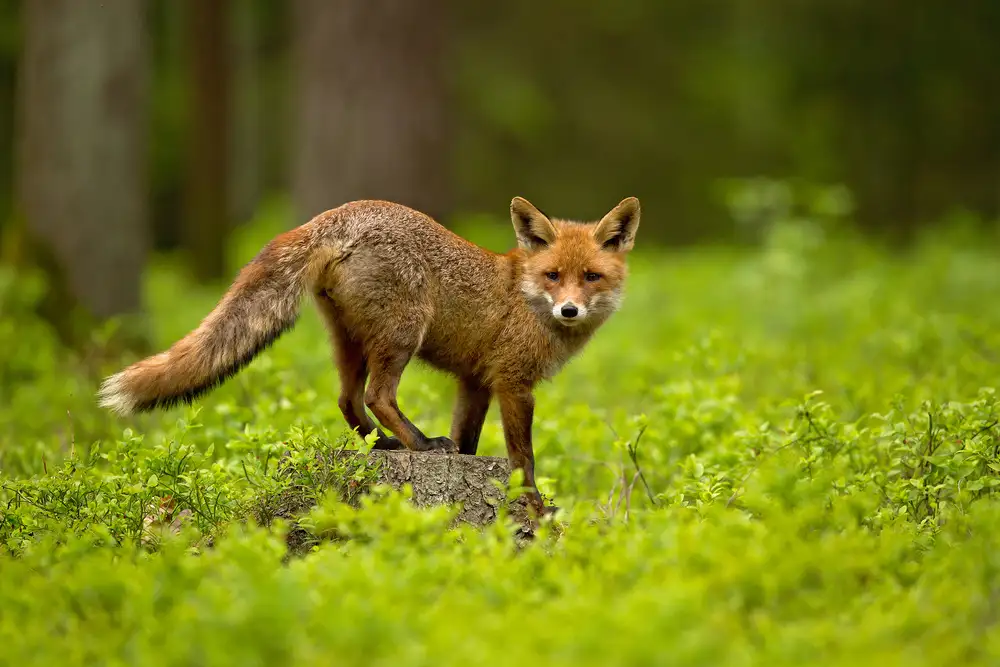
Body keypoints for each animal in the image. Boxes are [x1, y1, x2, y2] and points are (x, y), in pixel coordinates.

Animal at [97, 196, 641, 514]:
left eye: (591, 276)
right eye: (554, 276)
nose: (569, 309)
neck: (524, 296)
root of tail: (335, 213)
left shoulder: (474, 382)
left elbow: (469, 442)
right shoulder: (512, 382)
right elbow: (523, 457)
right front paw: (534, 508)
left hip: (350, 342)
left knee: (347, 401)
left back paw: (385, 446)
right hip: (401, 335)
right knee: (379, 395)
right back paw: (420, 445)